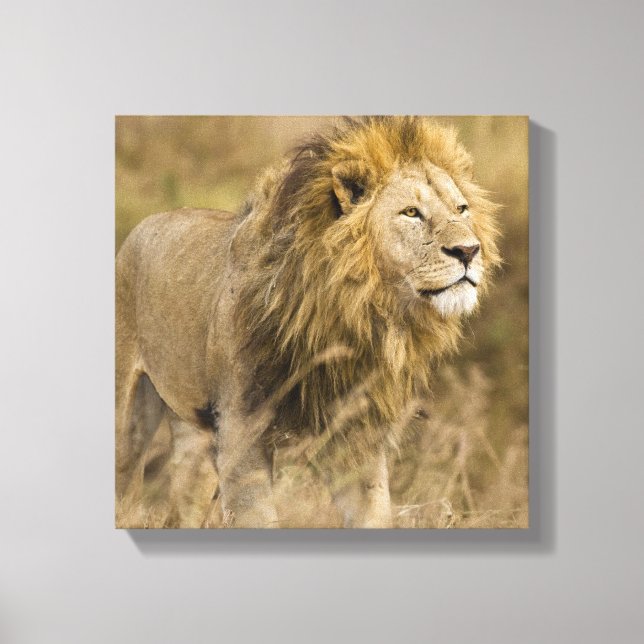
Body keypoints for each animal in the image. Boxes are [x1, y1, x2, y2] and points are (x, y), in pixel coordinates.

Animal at [116, 116, 500, 528]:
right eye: (411, 213)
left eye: (462, 209)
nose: (469, 251)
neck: (356, 312)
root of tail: (146, 222)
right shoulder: (240, 429)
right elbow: (258, 519)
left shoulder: (355, 436)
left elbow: (374, 514)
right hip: (128, 420)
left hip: (195, 437)